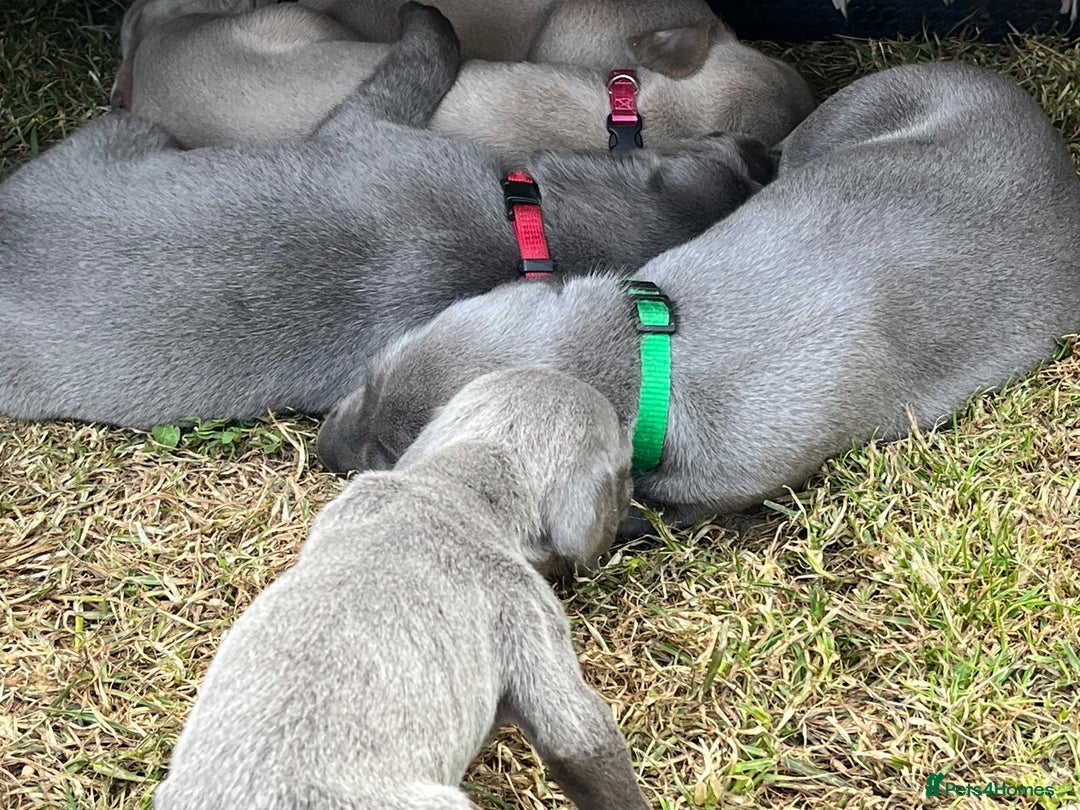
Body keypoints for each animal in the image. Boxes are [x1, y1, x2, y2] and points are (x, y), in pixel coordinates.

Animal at [0, 3, 772, 429]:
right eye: (713, 140)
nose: (766, 151)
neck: (525, 232)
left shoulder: (369, 122)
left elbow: (427, 49)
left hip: (129, 133)